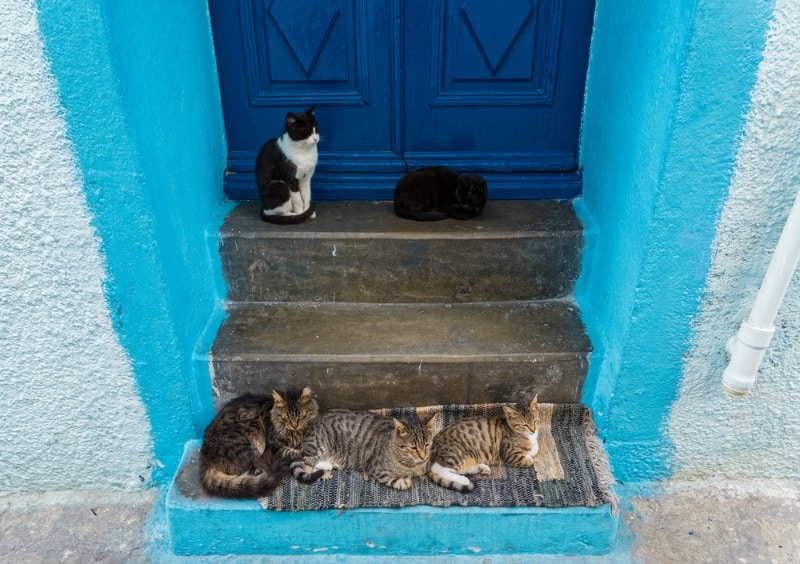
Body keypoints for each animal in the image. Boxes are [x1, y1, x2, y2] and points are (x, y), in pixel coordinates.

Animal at [292, 410, 440, 490]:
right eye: (413, 447)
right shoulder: (376, 469)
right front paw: (405, 481)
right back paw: (326, 465)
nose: (423, 456)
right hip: (320, 444)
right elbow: (394, 480)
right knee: (307, 458)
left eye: (427, 444)